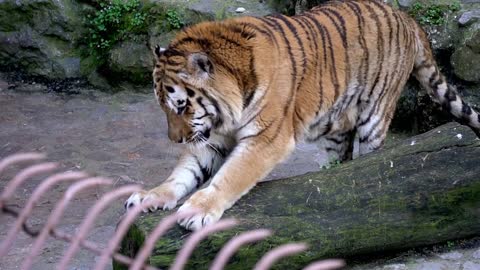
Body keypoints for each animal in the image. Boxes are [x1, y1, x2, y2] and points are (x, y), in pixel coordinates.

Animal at [124, 0, 480, 230]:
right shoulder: (211, 137)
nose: (176, 139)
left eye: (181, 106)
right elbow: (181, 175)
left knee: (369, 163)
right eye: (164, 107)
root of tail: (406, 17)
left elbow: (231, 176)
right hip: (337, 125)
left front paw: (198, 210)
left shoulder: (266, 139)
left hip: (375, 116)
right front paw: (149, 196)